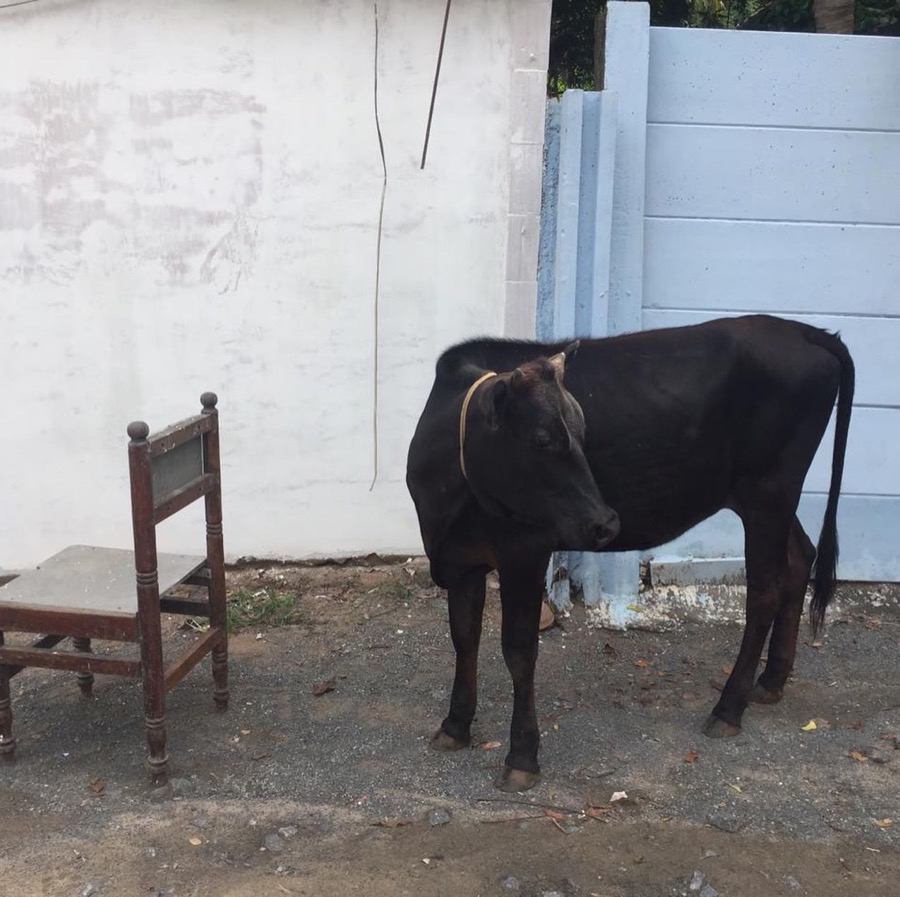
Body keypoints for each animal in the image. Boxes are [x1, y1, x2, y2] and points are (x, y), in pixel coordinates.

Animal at [406, 315, 854, 792]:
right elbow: (464, 636)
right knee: (800, 558)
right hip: (770, 499)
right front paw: (455, 725)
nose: (606, 522)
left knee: (765, 591)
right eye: (542, 439)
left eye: (582, 433)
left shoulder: (524, 550)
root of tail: (801, 330)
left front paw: (522, 755)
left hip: (769, 491)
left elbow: (519, 650)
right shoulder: (461, 559)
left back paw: (728, 708)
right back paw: (770, 681)